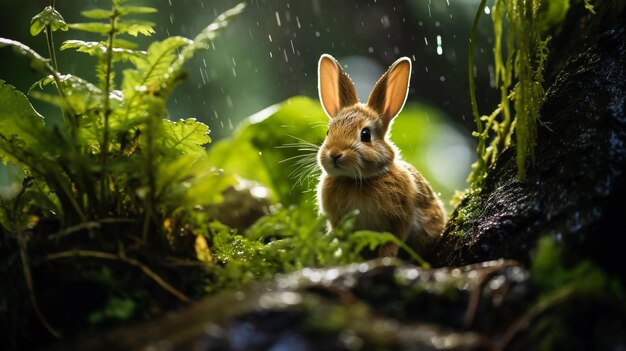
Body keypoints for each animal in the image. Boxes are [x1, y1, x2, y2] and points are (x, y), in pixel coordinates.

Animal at [316, 54, 444, 258]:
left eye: (365, 134)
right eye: (328, 132)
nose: (334, 154)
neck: (356, 180)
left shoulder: (401, 217)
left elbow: (392, 240)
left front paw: (386, 257)